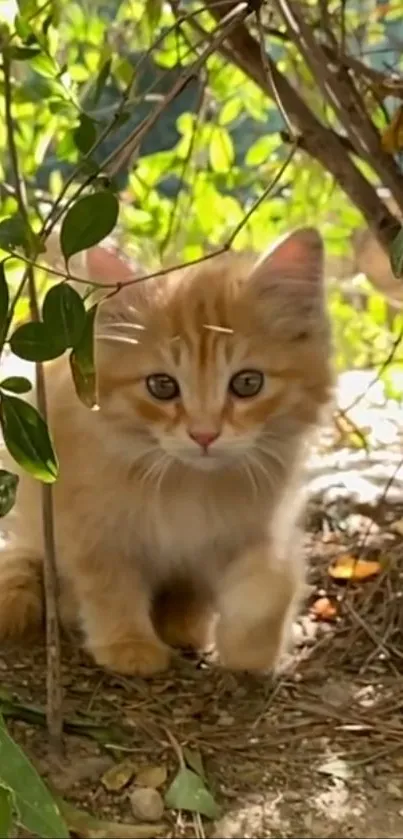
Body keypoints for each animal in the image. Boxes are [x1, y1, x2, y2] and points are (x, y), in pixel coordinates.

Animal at [0, 228, 332, 676]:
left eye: (248, 383)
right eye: (162, 386)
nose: (204, 434)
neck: (188, 485)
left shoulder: (258, 526)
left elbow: (269, 585)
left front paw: (252, 650)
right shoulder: (86, 522)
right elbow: (109, 585)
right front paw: (129, 644)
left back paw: (186, 623)